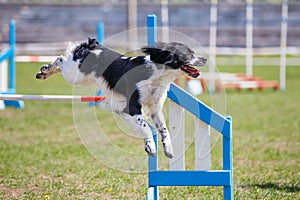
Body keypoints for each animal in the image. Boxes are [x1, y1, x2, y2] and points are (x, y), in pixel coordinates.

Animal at [35, 38, 206, 159]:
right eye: (189, 53)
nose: (204, 59)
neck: (156, 75)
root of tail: (92, 45)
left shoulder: (154, 108)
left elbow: (163, 128)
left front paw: (168, 148)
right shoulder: (132, 106)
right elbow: (145, 126)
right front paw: (150, 146)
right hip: (75, 75)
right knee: (60, 59)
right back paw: (44, 71)